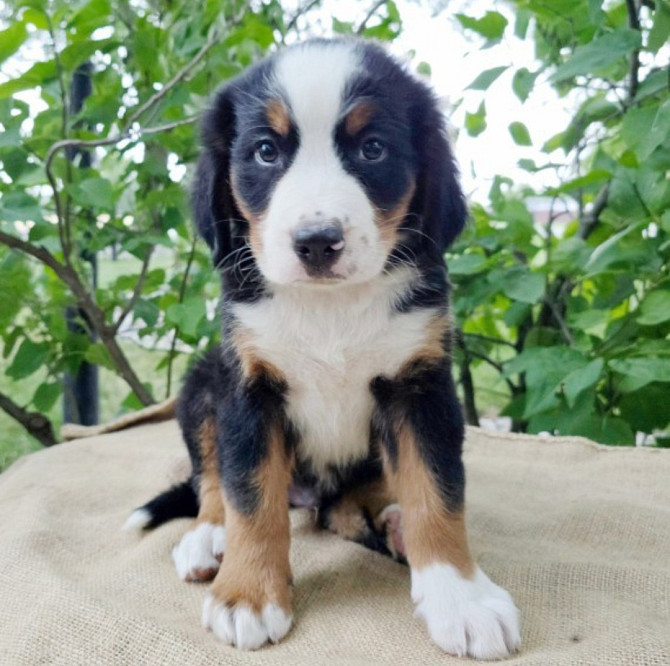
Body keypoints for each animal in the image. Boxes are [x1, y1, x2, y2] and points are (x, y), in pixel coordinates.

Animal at [127, 39, 524, 656]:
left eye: (372, 148)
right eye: (266, 152)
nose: (317, 242)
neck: (329, 309)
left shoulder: (420, 385)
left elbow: (436, 492)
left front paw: (462, 599)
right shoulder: (249, 387)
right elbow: (250, 497)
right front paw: (247, 595)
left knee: (348, 506)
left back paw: (391, 524)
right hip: (202, 381)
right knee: (213, 479)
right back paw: (208, 539)